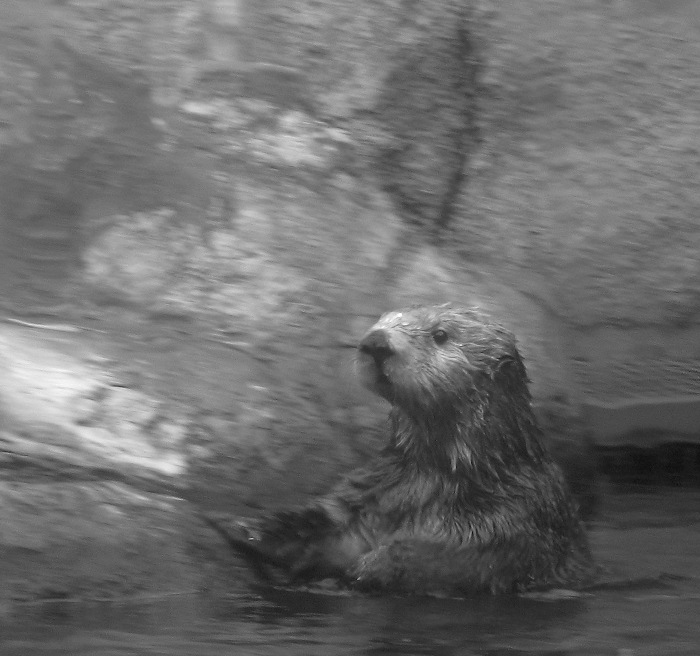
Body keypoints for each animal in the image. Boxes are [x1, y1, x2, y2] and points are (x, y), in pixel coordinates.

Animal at [206, 304, 594, 595]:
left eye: (441, 335)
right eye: (381, 320)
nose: (376, 342)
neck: (435, 477)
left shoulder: (516, 520)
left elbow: (467, 557)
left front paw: (375, 564)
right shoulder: (374, 496)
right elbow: (326, 528)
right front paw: (238, 524)